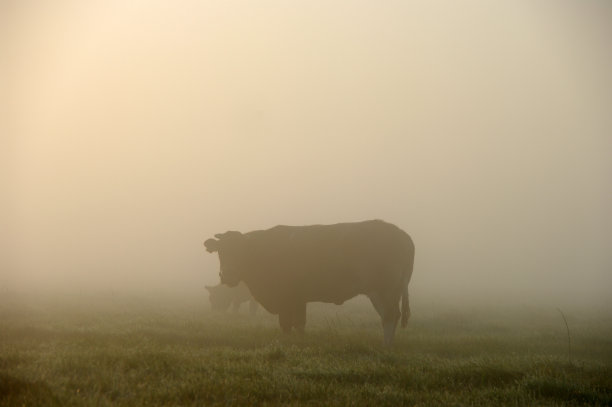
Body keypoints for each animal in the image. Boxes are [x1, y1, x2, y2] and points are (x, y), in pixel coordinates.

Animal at [206, 220, 416, 344]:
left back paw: (386, 345)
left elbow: (286, 324)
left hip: (383, 290)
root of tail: (401, 234)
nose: (227, 274)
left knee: (390, 316)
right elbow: (299, 324)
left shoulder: (285, 298)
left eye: (240, 250)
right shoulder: (298, 299)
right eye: (221, 251)